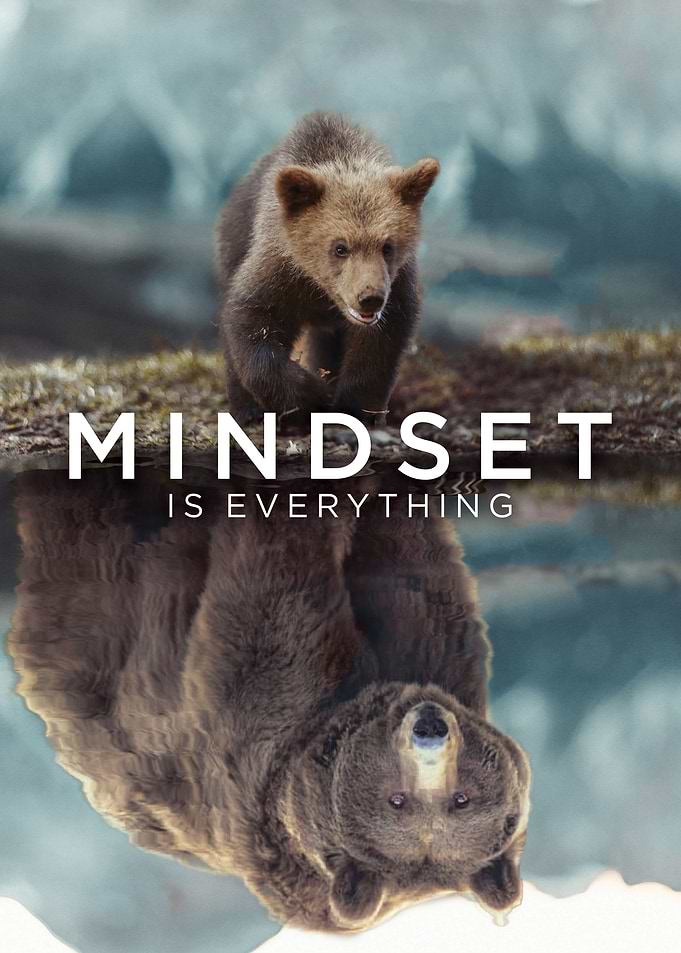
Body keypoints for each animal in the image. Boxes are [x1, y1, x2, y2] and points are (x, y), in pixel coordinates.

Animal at [8, 468, 530, 932]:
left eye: (458, 799)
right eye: (398, 799)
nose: (430, 727)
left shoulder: (257, 733)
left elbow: (269, 601)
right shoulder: (432, 657)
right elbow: (409, 568)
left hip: (91, 659)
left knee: (82, 551)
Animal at [215, 112, 440, 424]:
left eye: (387, 246)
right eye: (339, 247)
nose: (369, 297)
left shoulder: (397, 284)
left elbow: (380, 345)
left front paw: (355, 406)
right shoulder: (280, 271)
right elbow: (253, 321)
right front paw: (310, 395)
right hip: (234, 241)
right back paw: (245, 408)